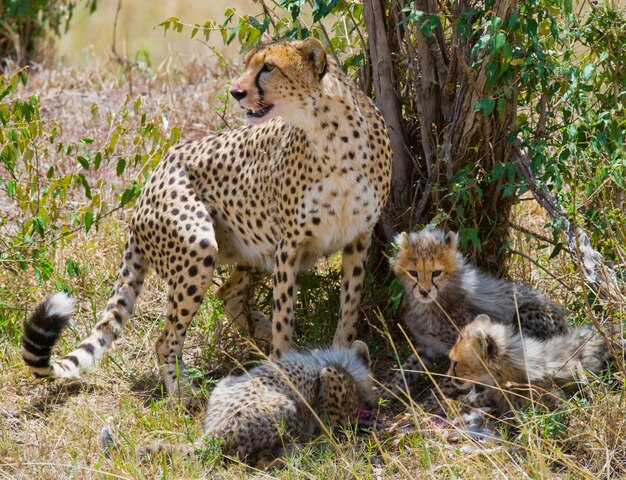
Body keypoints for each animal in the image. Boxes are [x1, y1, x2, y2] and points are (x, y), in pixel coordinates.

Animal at [23, 39, 390, 402]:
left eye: (268, 67)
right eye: (248, 64)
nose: (235, 92)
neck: (330, 133)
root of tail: (151, 181)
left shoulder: (358, 238)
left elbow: (349, 307)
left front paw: (341, 356)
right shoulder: (289, 245)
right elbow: (284, 314)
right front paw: (283, 368)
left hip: (253, 244)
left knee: (226, 293)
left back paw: (257, 331)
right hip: (200, 246)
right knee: (166, 339)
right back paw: (183, 394)